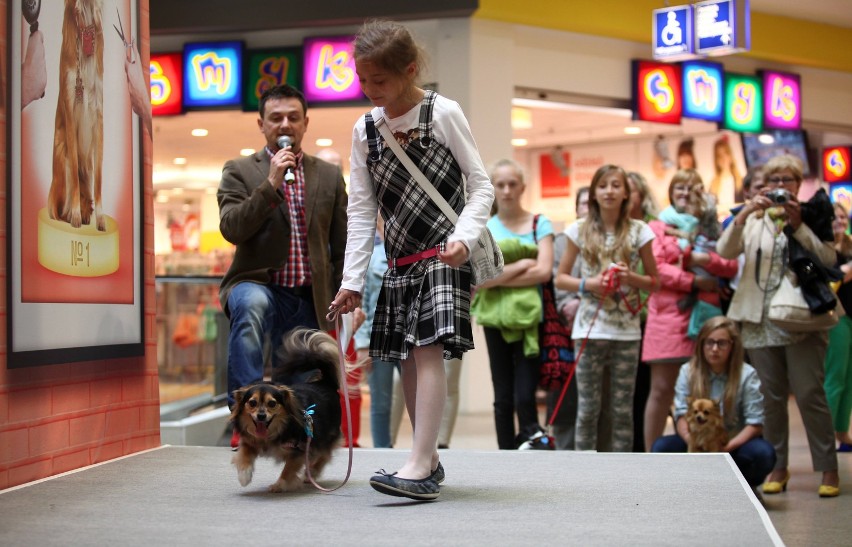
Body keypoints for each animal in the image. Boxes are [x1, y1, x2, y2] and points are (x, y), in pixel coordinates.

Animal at [233, 330, 342, 492]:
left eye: (272, 403)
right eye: (252, 403)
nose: (261, 416)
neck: (273, 432)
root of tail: (325, 383)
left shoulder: (299, 450)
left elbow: (288, 469)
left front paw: (280, 484)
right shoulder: (250, 441)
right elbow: (244, 454)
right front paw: (244, 475)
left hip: (322, 437)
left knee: (324, 455)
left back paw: (311, 473)